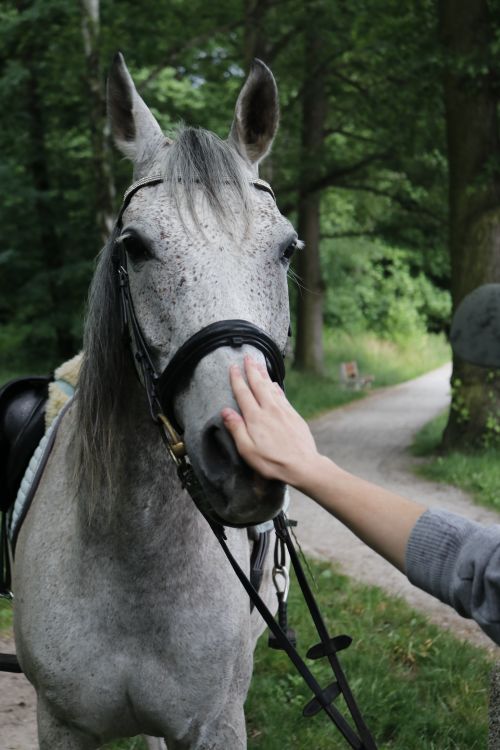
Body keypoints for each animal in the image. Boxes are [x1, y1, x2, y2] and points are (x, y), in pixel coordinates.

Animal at [12, 53, 300, 749]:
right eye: (134, 246)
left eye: (287, 248)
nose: (248, 454)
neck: (134, 555)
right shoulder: (60, 724)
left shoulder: (214, 725)